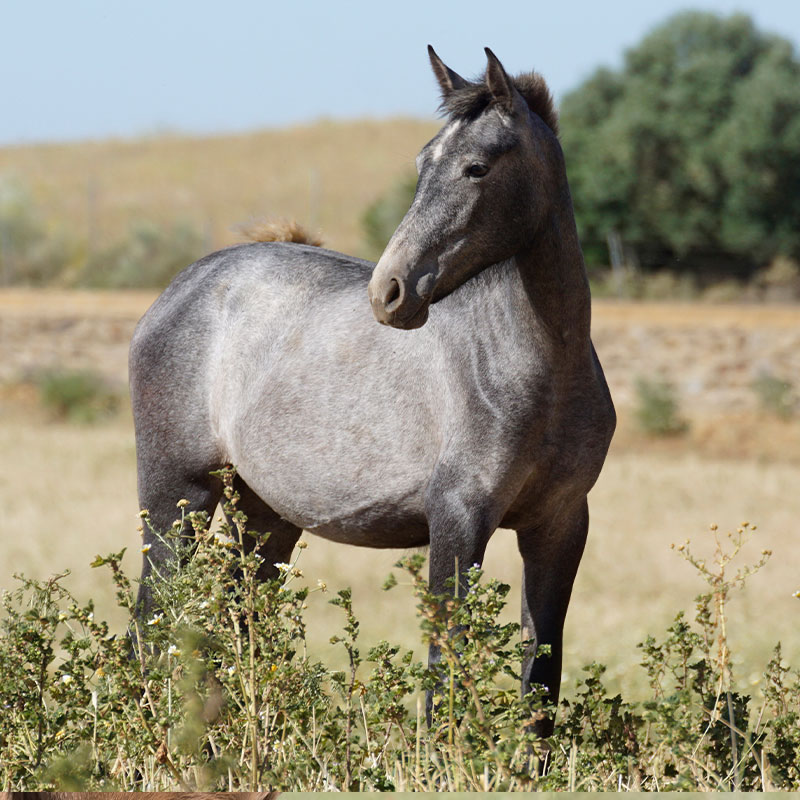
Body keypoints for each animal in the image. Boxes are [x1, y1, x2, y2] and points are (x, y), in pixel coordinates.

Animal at [133, 45, 620, 736]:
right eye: (422, 163)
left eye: (476, 167)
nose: (389, 292)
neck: (542, 369)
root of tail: (179, 290)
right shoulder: (458, 518)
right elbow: (445, 670)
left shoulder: (560, 524)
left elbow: (541, 680)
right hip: (177, 499)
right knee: (150, 625)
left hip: (264, 516)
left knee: (236, 623)